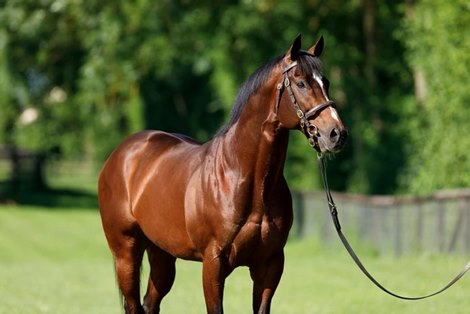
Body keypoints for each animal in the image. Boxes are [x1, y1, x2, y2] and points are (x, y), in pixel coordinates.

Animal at [99, 34, 346, 314]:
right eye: (301, 83)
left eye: (325, 82)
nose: (336, 134)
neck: (245, 180)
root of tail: (122, 153)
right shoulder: (213, 263)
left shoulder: (270, 265)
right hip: (126, 252)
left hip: (162, 254)